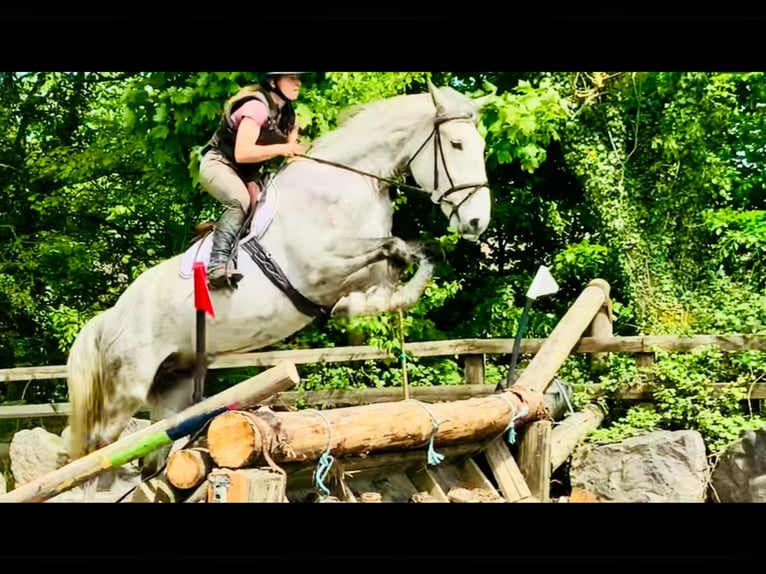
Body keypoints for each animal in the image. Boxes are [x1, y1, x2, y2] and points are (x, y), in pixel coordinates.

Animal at [69, 80, 496, 496]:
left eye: (481, 147)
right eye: (456, 145)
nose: (477, 222)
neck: (349, 183)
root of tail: (110, 316)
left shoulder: (369, 270)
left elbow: (419, 256)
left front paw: (359, 307)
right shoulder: (323, 265)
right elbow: (395, 249)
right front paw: (349, 309)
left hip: (173, 385)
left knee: (149, 457)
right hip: (126, 388)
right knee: (95, 457)